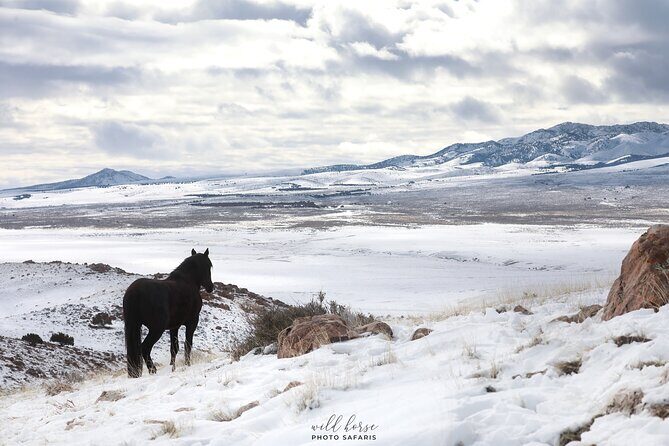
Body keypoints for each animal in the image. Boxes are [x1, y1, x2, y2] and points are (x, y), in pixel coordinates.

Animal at [123, 249, 214, 377]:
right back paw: (153, 370)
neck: (188, 282)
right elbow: (188, 345)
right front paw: (187, 364)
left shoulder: (174, 326)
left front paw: (172, 367)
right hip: (156, 329)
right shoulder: (192, 322)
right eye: (208, 266)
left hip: (135, 325)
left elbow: (174, 348)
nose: (211, 287)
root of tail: (135, 292)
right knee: (145, 348)